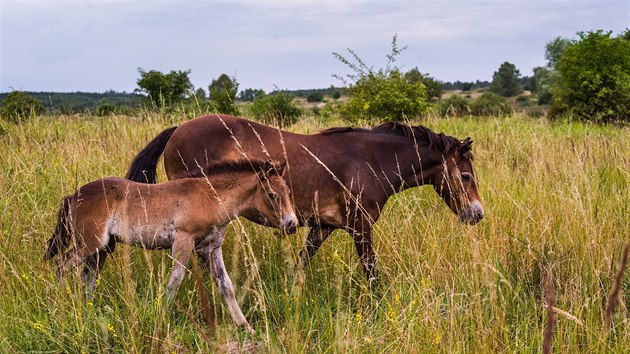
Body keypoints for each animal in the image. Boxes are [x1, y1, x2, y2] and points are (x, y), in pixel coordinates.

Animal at [126, 115, 486, 284]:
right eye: (466, 176)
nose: (477, 214)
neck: (370, 160)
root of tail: (177, 129)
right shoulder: (360, 228)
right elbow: (370, 271)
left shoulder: (322, 227)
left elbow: (302, 262)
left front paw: (291, 291)